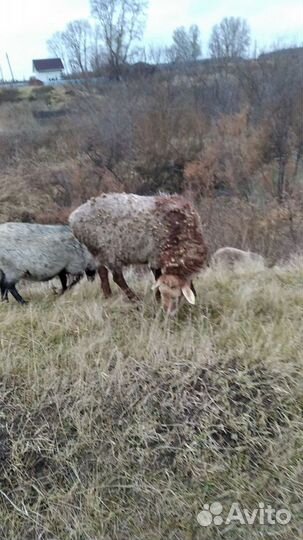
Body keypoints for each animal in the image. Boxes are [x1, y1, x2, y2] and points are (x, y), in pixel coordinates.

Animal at [69, 192, 209, 314]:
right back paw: (135, 299)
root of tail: (73, 218)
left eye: (177, 297)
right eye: (164, 293)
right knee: (117, 277)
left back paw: (108, 296)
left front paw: (194, 294)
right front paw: (157, 299)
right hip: (108, 250)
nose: (167, 313)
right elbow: (157, 277)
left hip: (97, 251)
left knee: (103, 273)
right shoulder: (155, 256)